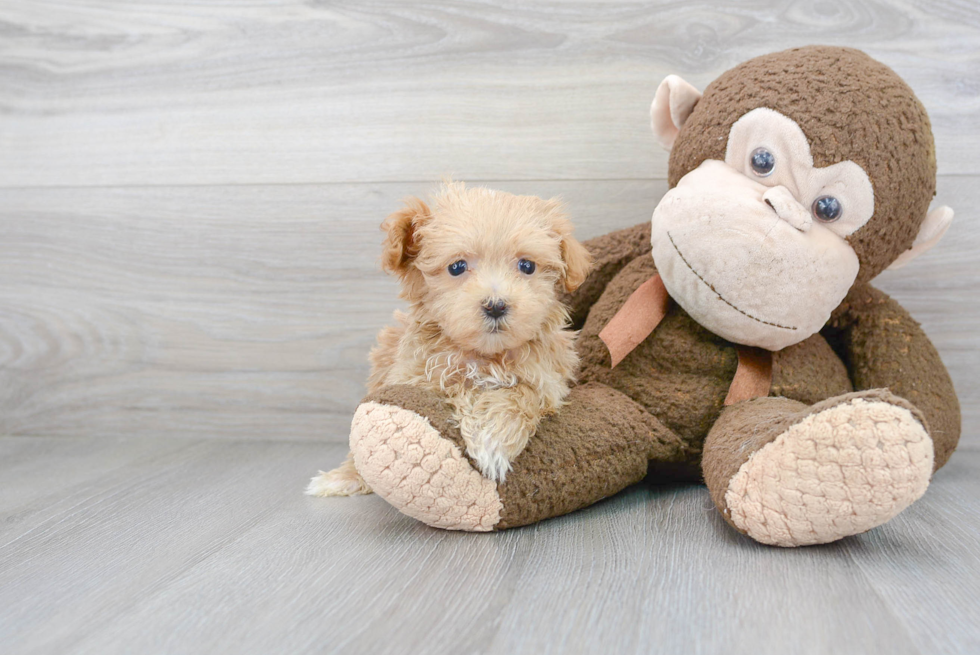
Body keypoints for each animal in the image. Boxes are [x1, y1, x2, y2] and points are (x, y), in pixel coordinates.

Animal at [306, 181, 592, 498]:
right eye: (457, 267)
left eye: (527, 266)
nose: (496, 306)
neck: (483, 356)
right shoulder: (413, 376)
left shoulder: (547, 379)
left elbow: (521, 394)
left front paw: (491, 439)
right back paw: (342, 477)